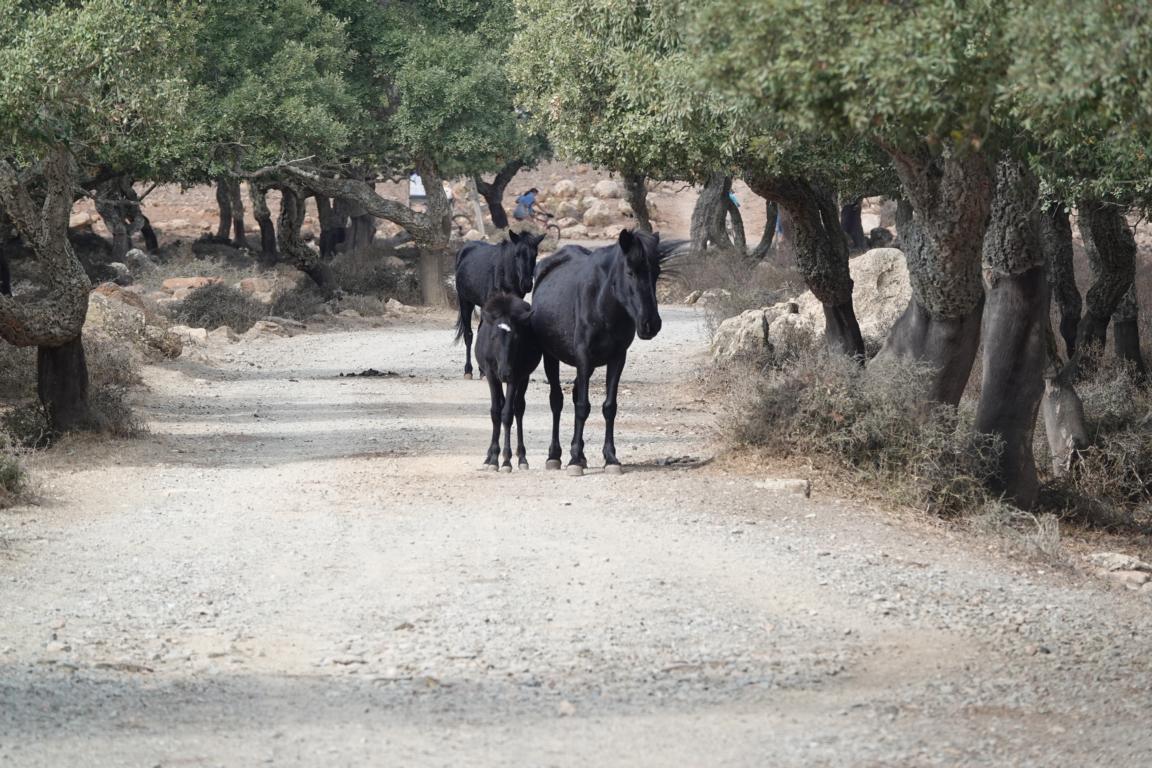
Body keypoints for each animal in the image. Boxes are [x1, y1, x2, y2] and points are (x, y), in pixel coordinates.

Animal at [451, 232, 546, 379]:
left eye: (535, 254)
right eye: (517, 254)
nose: (526, 284)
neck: (504, 274)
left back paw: (482, 370)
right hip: (465, 301)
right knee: (468, 335)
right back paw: (468, 370)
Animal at [479, 294, 546, 472]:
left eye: (516, 338)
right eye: (493, 337)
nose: (505, 372)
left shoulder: (516, 376)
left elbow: (507, 414)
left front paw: (506, 460)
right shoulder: (491, 374)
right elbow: (495, 412)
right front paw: (493, 458)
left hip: (524, 377)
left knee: (518, 408)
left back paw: (522, 457)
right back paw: (488, 456)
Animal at [529, 230, 681, 474]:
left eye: (656, 272)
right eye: (630, 271)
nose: (651, 324)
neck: (603, 304)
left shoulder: (617, 358)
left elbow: (609, 407)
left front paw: (610, 457)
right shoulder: (583, 356)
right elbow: (582, 407)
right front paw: (573, 461)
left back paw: (580, 454)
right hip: (551, 357)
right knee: (557, 401)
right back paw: (555, 455)